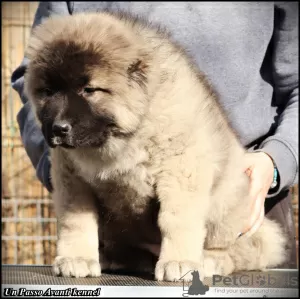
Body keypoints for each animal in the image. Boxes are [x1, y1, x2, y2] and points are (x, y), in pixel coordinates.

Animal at [23, 9, 286, 282]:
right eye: (47, 91)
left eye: (89, 90)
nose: (59, 128)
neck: (123, 138)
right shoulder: (72, 178)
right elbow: (76, 220)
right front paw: (77, 258)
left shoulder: (182, 170)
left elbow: (176, 219)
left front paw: (180, 262)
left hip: (225, 208)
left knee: (244, 248)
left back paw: (211, 259)